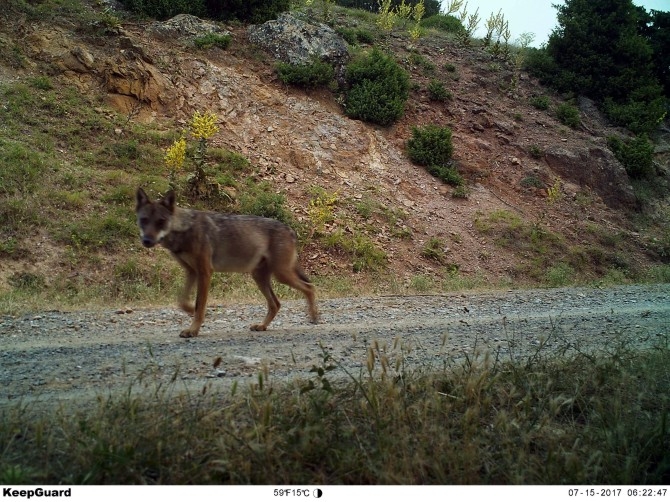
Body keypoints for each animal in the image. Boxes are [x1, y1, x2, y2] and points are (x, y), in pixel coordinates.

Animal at [135, 188, 318, 338]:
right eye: (144, 220)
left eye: (160, 221)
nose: (146, 241)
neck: (184, 229)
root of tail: (290, 230)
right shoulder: (191, 272)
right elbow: (182, 301)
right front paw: (191, 312)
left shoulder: (205, 272)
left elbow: (200, 305)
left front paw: (193, 330)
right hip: (259, 276)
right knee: (276, 304)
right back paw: (262, 326)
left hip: (281, 275)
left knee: (309, 287)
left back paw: (314, 317)